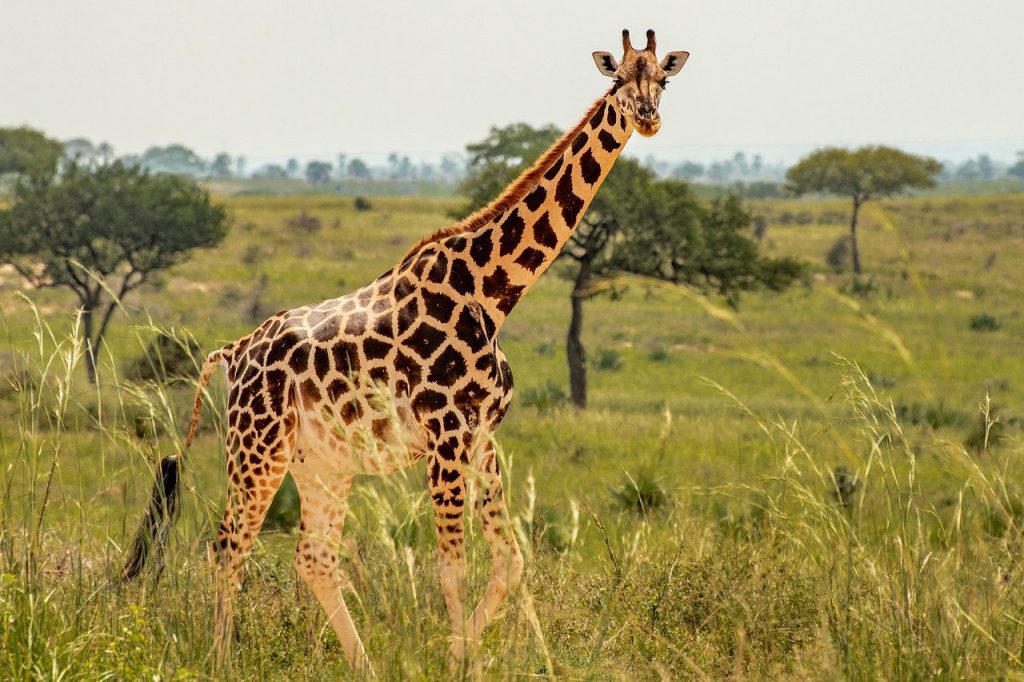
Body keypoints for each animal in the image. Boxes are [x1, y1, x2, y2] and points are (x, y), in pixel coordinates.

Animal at [125, 29, 688, 671]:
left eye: (662, 80)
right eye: (617, 80)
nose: (647, 117)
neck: (492, 292)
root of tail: (233, 350)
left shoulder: (481, 435)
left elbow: (512, 562)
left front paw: (502, 659)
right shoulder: (446, 432)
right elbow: (453, 568)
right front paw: (459, 663)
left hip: (321, 462)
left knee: (314, 558)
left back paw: (364, 666)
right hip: (257, 446)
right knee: (228, 546)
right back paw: (221, 661)